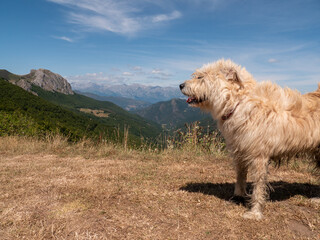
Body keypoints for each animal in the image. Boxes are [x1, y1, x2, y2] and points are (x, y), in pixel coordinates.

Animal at [180, 59, 320, 219]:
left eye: (200, 77)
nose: (180, 85)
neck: (237, 102)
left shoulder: (259, 156)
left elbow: (258, 185)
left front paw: (255, 212)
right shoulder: (240, 150)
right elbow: (240, 175)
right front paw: (238, 196)